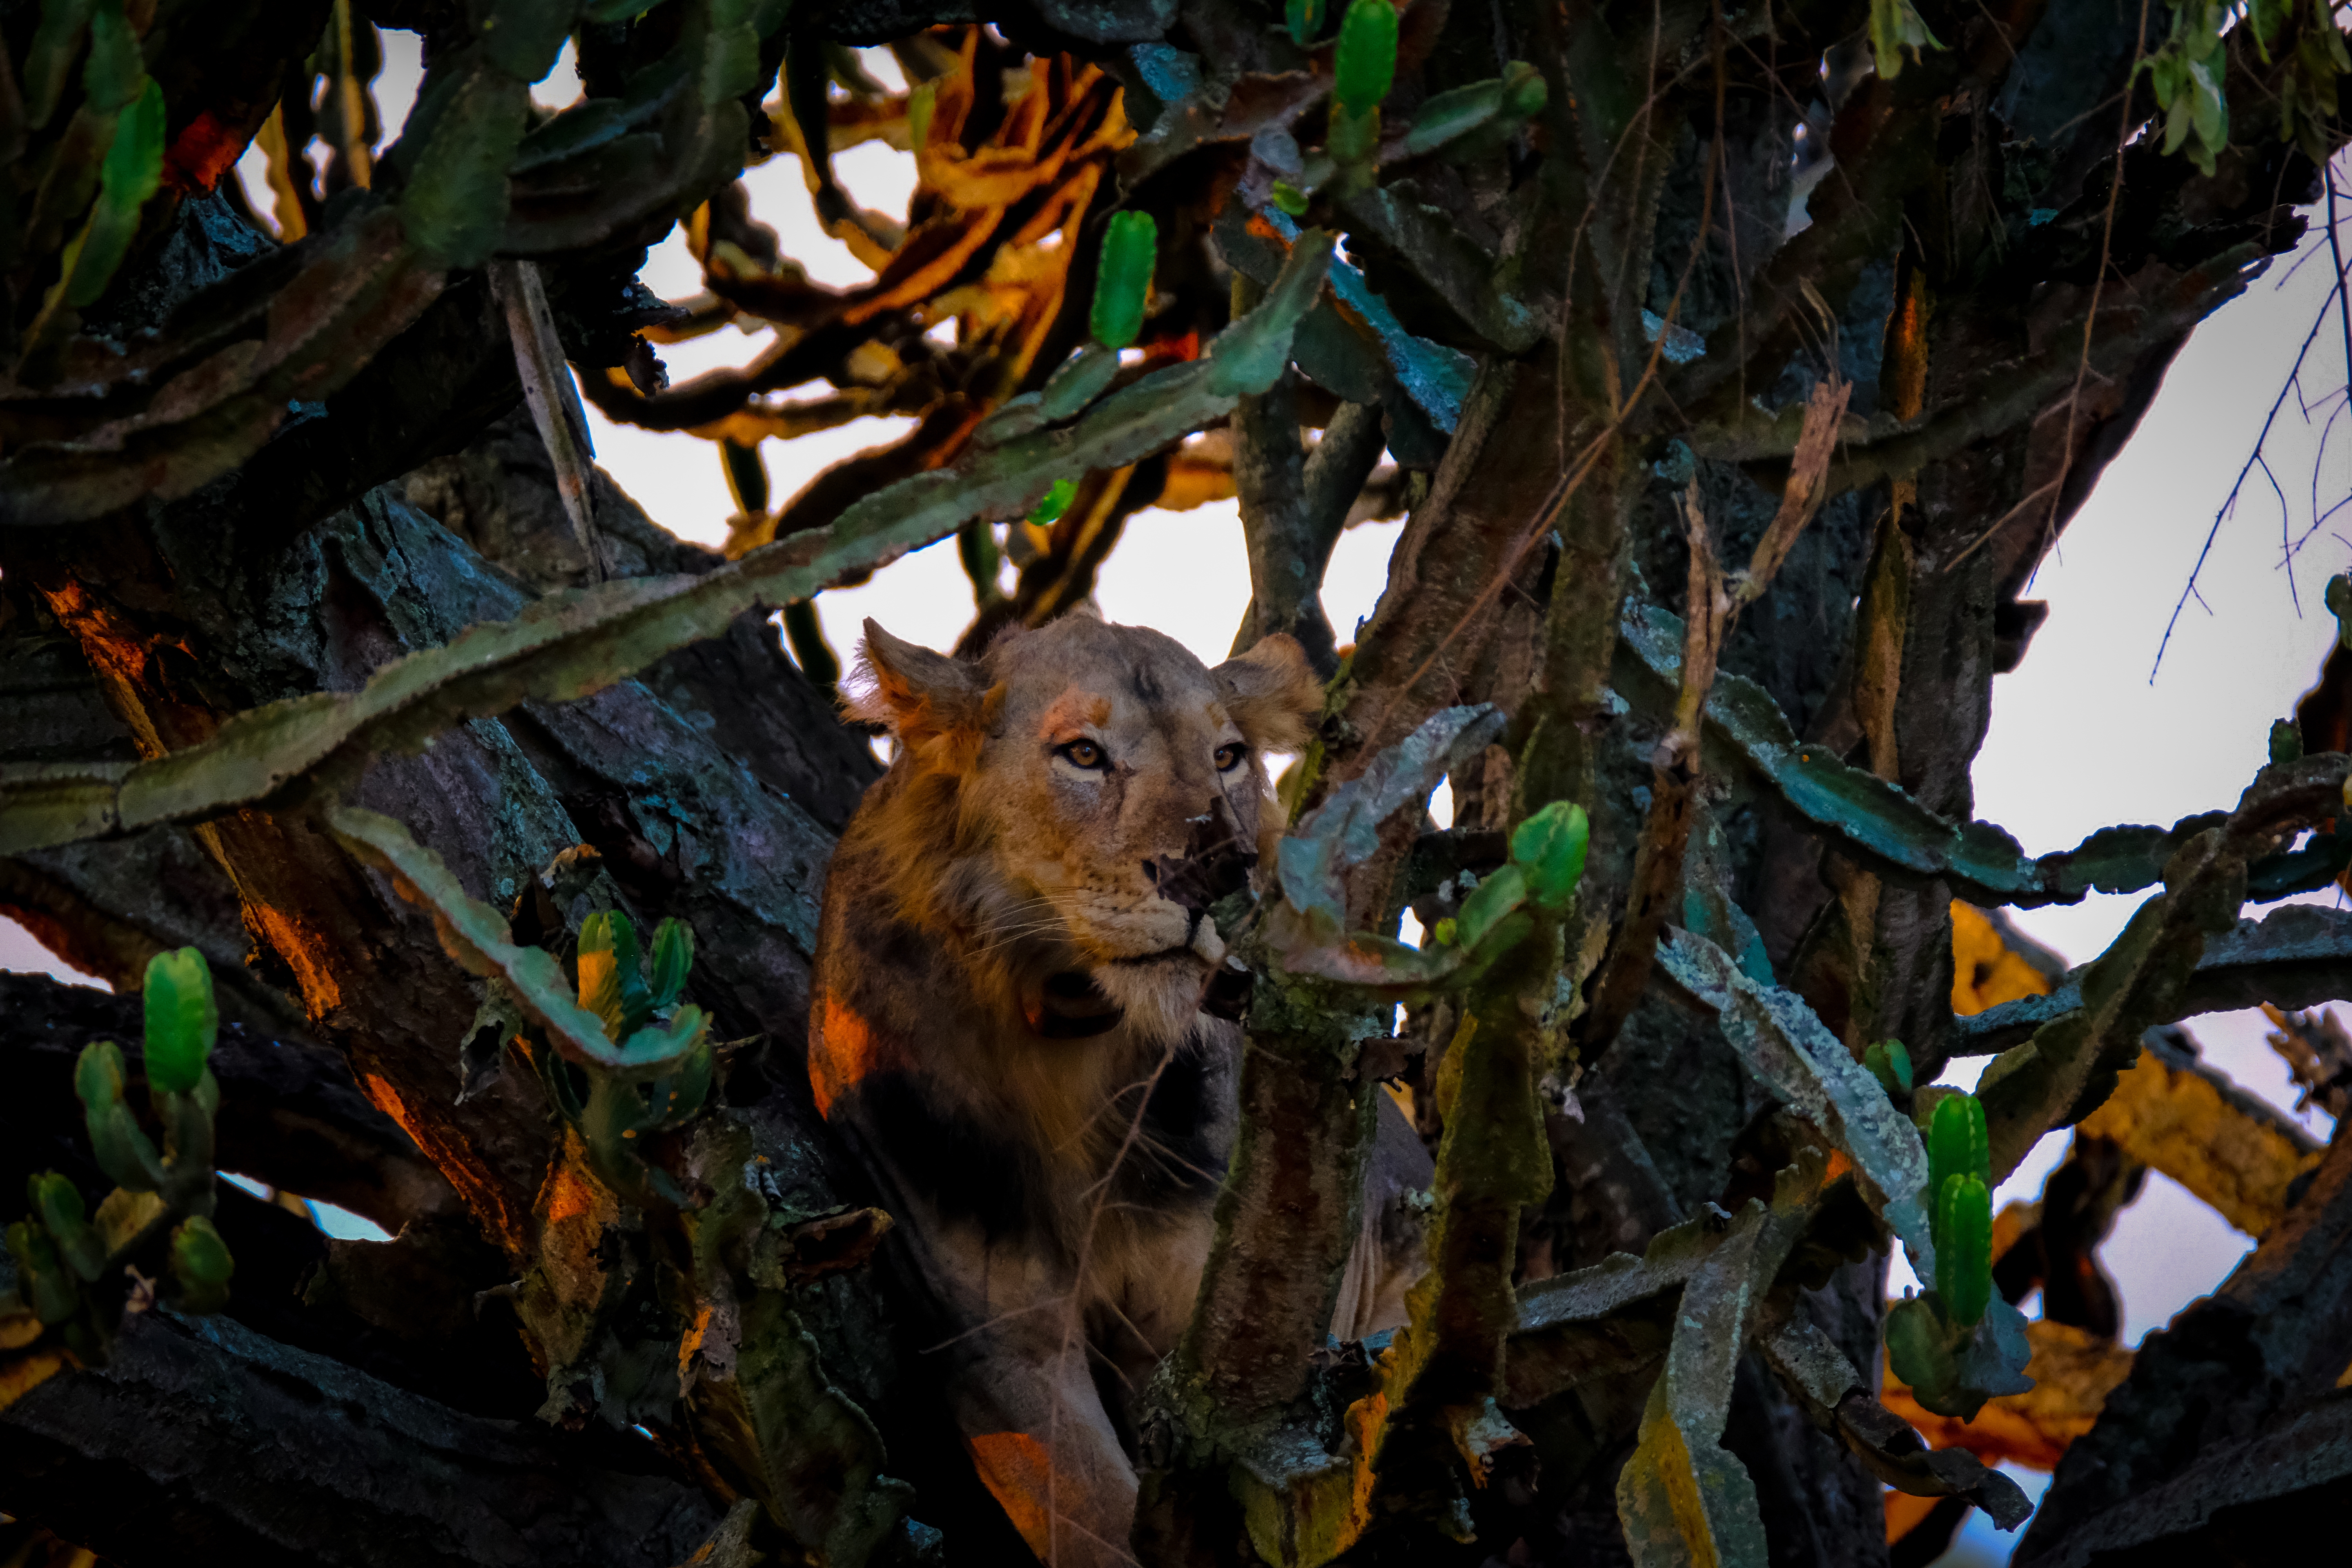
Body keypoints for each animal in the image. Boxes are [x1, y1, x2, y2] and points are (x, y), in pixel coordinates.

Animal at [809, 608, 1431, 1566]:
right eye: (1084, 755)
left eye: (1227, 757)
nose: (1219, 873)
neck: (1064, 1040)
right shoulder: (1001, 1339)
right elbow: (1094, 1517)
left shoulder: (1224, 1338)